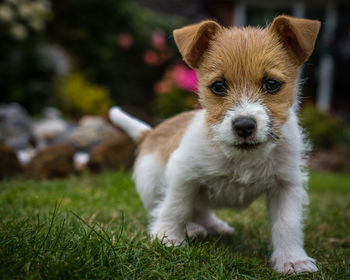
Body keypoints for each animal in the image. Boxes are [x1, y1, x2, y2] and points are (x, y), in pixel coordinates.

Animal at [108, 15, 320, 274]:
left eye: (272, 84)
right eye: (218, 86)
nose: (244, 125)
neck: (242, 159)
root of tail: (151, 133)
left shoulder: (286, 184)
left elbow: (287, 223)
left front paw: (292, 260)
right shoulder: (183, 173)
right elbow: (175, 206)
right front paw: (167, 238)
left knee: (202, 210)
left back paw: (214, 226)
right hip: (150, 184)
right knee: (180, 207)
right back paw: (193, 228)